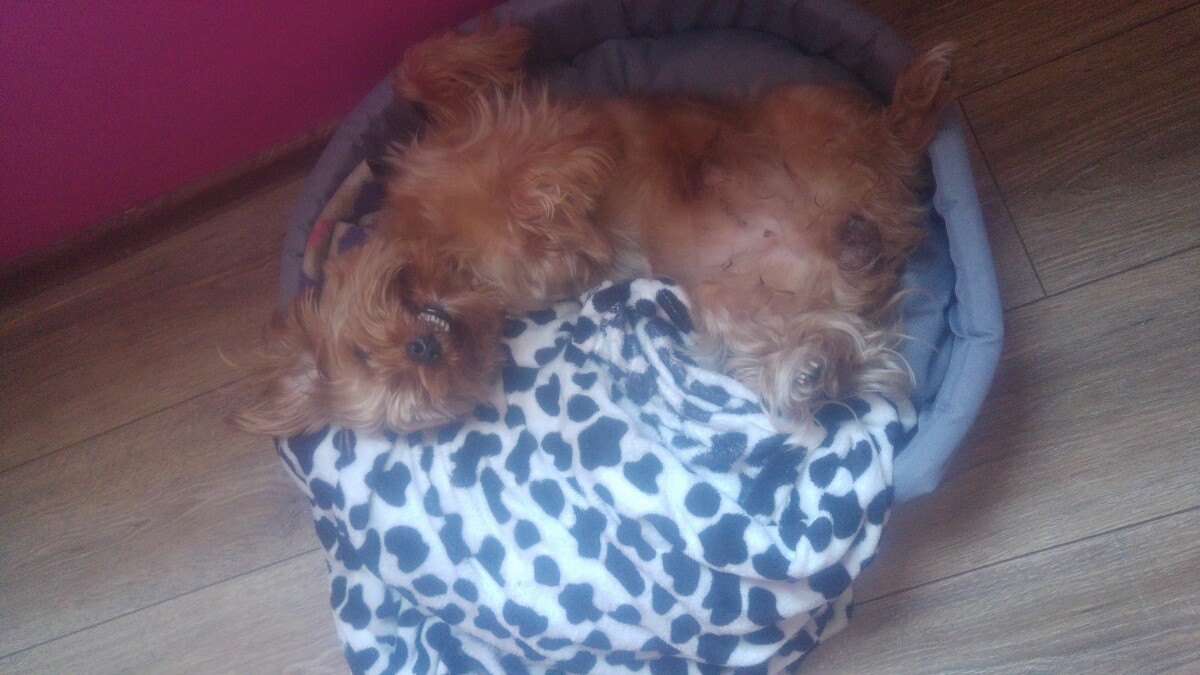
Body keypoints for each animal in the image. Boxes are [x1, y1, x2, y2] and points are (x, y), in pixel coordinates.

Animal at [234, 24, 953, 437]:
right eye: (406, 394)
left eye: (360, 353)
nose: (423, 350)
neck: (447, 254)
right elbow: (549, 232)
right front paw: (557, 220)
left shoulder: (470, 127)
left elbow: (424, 68)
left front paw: (505, 45)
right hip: (730, 302)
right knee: (827, 337)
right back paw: (813, 363)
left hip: (801, 108)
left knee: (894, 128)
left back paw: (919, 89)